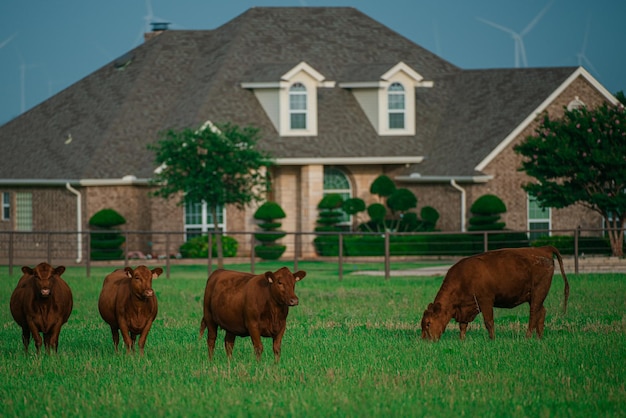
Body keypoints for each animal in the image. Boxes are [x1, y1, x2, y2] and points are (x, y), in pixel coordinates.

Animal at [422, 247, 568, 342]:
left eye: (428, 323)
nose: (425, 340)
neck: (463, 278)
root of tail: (543, 249)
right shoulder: (465, 308)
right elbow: (463, 325)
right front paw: (461, 340)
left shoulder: (485, 301)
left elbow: (489, 322)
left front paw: (492, 339)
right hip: (533, 297)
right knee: (541, 312)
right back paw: (539, 337)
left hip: (538, 293)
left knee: (533, 315)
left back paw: (527, 337)